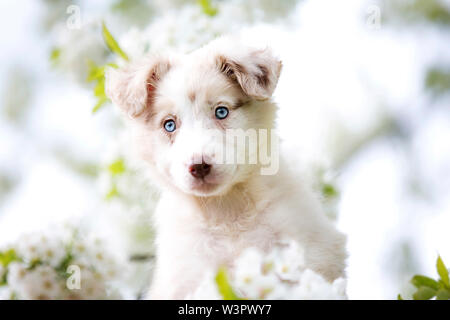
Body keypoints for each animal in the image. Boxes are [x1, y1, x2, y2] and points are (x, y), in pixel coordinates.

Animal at [106, 37, 348, 300]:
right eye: (169, 125)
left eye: (221, 111)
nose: (199, 166)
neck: (227, 212)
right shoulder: (187, 277)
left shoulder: (310, 251)